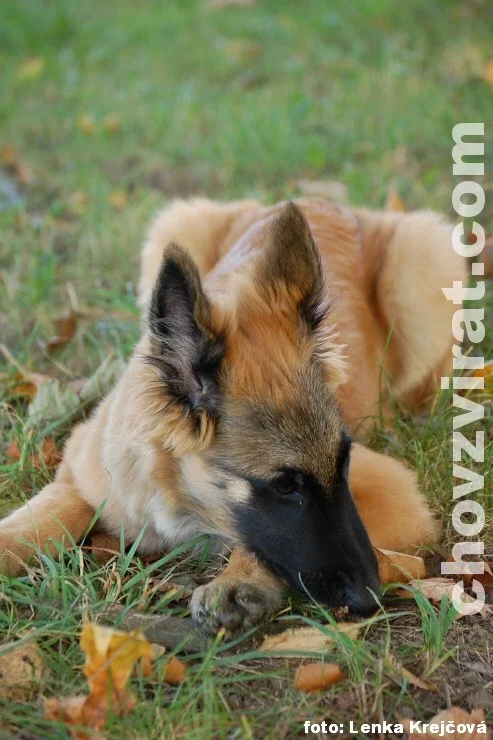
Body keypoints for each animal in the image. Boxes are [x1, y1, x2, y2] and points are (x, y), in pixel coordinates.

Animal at [0, 197, 465, 635]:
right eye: (284, 486)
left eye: (345, 462)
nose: (370, 598)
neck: (181, 495)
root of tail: (322, 200)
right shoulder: (83, 475)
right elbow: (38, 518)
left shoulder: (393, 492)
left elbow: (259, 546)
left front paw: (239, 581)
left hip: (422, 267)